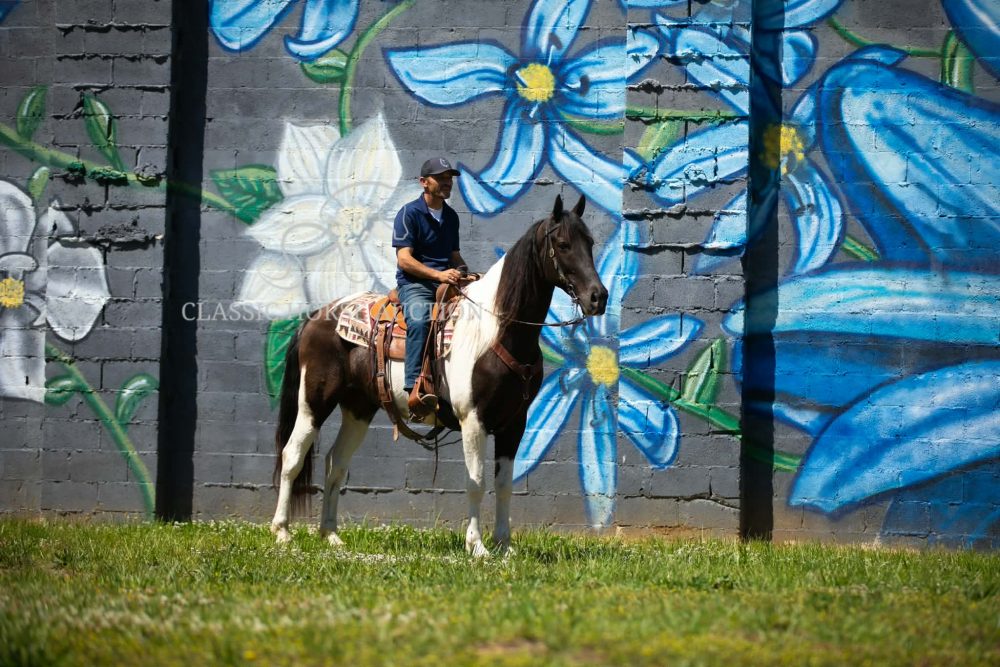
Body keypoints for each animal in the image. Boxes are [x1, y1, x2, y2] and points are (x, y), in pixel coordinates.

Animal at [269, 194, 608, 556]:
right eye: (563, 244)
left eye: (590, 242)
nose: (598, 297)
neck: (495, 329)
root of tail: (316, 317)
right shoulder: (472, 419)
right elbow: (476, 481)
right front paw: (477, 546)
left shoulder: (514, 422)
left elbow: (504, 483)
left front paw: (504, 545)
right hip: (314, 402)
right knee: (292, 456)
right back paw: (282, 532)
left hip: (359, 407)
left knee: (336, 462)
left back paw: (331, 535)